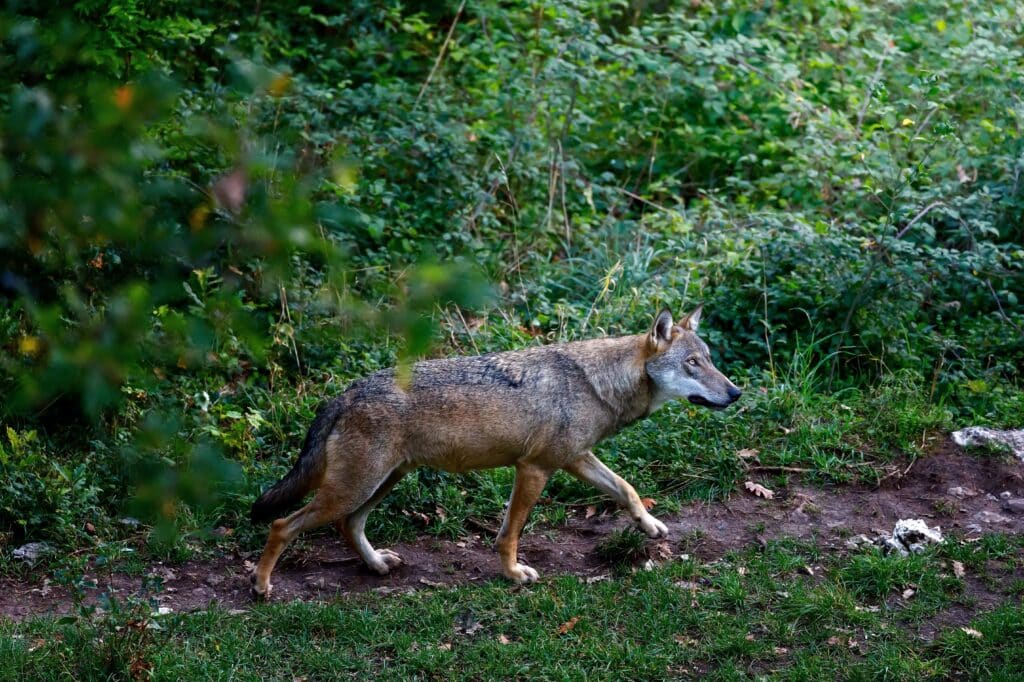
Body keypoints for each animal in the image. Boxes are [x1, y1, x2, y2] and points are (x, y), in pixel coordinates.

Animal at [250, 303, 741, 593]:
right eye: (692, 364)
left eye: (710, 360)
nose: (736, 393)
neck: (599, 383)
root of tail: (344, 393)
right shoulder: (535, 468)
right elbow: (510, 533)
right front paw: (513, 574)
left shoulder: (575, 459)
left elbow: (627, 489)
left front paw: (650, 526)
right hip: (355, 488)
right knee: (281, 524)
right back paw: (260, 585)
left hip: (381, 483)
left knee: (348, 526)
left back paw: (375, 565)